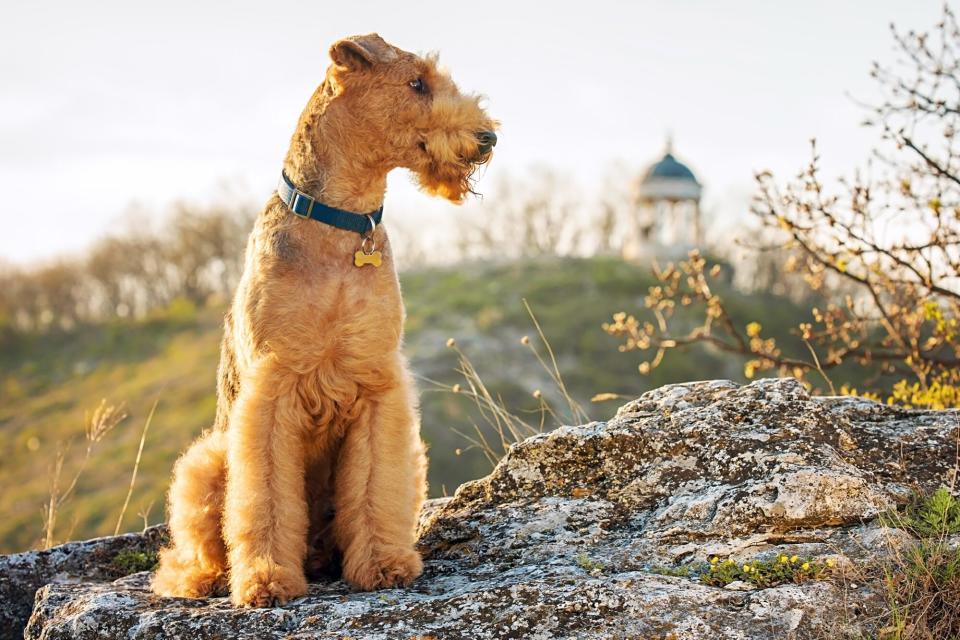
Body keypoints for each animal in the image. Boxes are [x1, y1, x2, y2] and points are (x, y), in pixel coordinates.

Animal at [152, 33, 496, 604]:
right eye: (416, 83)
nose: (487, 136)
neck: (343, 225)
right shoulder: (272, 389)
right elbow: (265, 498)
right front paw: (267, 580)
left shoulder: (377, 384)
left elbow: (375, 487)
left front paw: (382, 564)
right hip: (206, 461)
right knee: (194, 547)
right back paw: (204, 578)